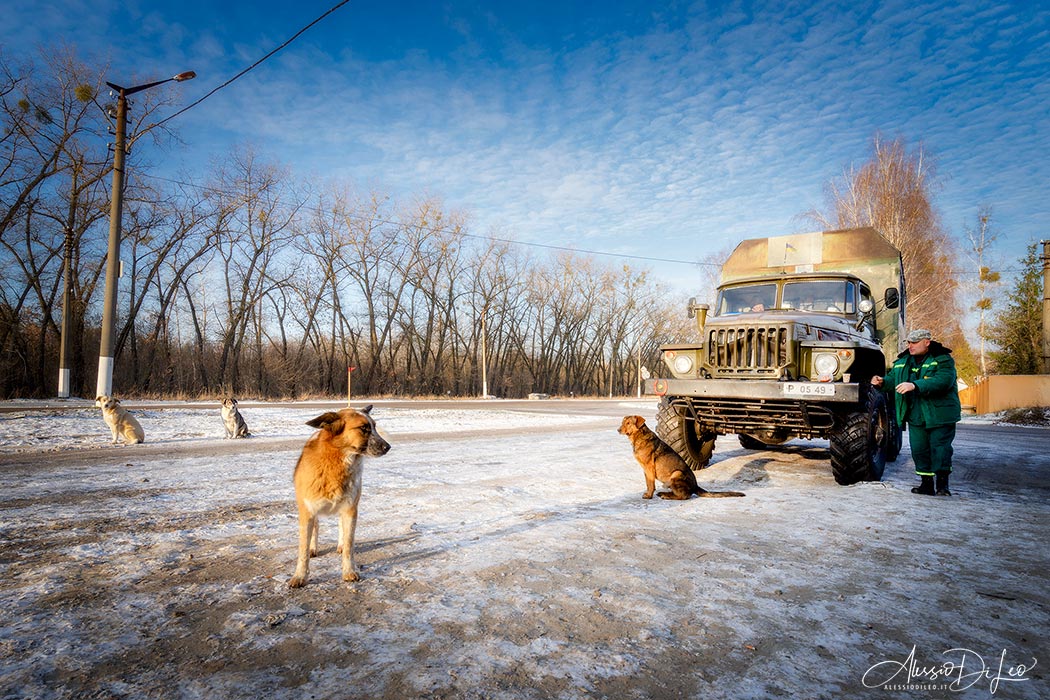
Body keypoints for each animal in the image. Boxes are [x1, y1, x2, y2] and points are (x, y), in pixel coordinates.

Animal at [289, 402, 392, 587]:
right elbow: (303, 550)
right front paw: (300, 576)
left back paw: (341, 544)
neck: (335, 464)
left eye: (374, 426)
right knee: (316, 528)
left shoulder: (350, 509)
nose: (388, 447)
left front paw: (349, 571)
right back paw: (314, 548)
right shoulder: (307, 512)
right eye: (363, 428)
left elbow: (349, 545)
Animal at [613, 415, 747, 497]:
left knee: (684, 496)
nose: (618, 430)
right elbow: (648, 483)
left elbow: (651, 484)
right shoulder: (645, 470)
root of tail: (695, 486)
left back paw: (666, 495)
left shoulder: (649, 467)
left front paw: (649, 496)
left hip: (676, 474)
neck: (639, 436)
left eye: (628, 423)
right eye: (622, 422)